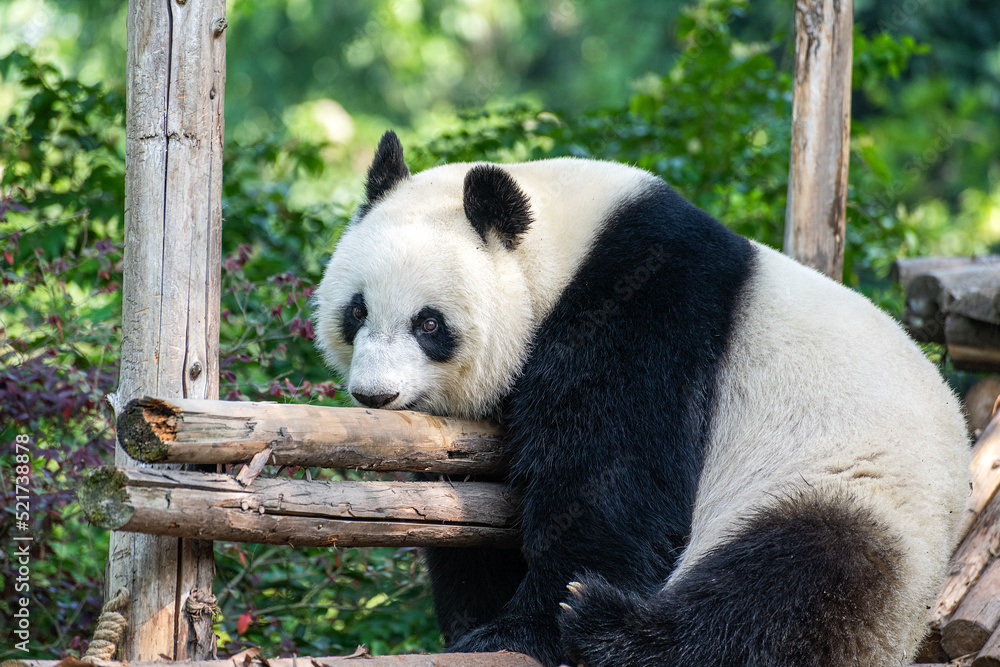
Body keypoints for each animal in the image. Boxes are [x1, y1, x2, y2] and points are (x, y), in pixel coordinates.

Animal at [312, 132, 968, 667]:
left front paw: (526, 628)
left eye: (429, 324)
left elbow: (613, 477)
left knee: (789, 587)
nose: (375, 394)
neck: (563, 252)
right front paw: (478, 620)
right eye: (357, 311)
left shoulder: (644, 306)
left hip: (850, 487)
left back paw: (608, 627)